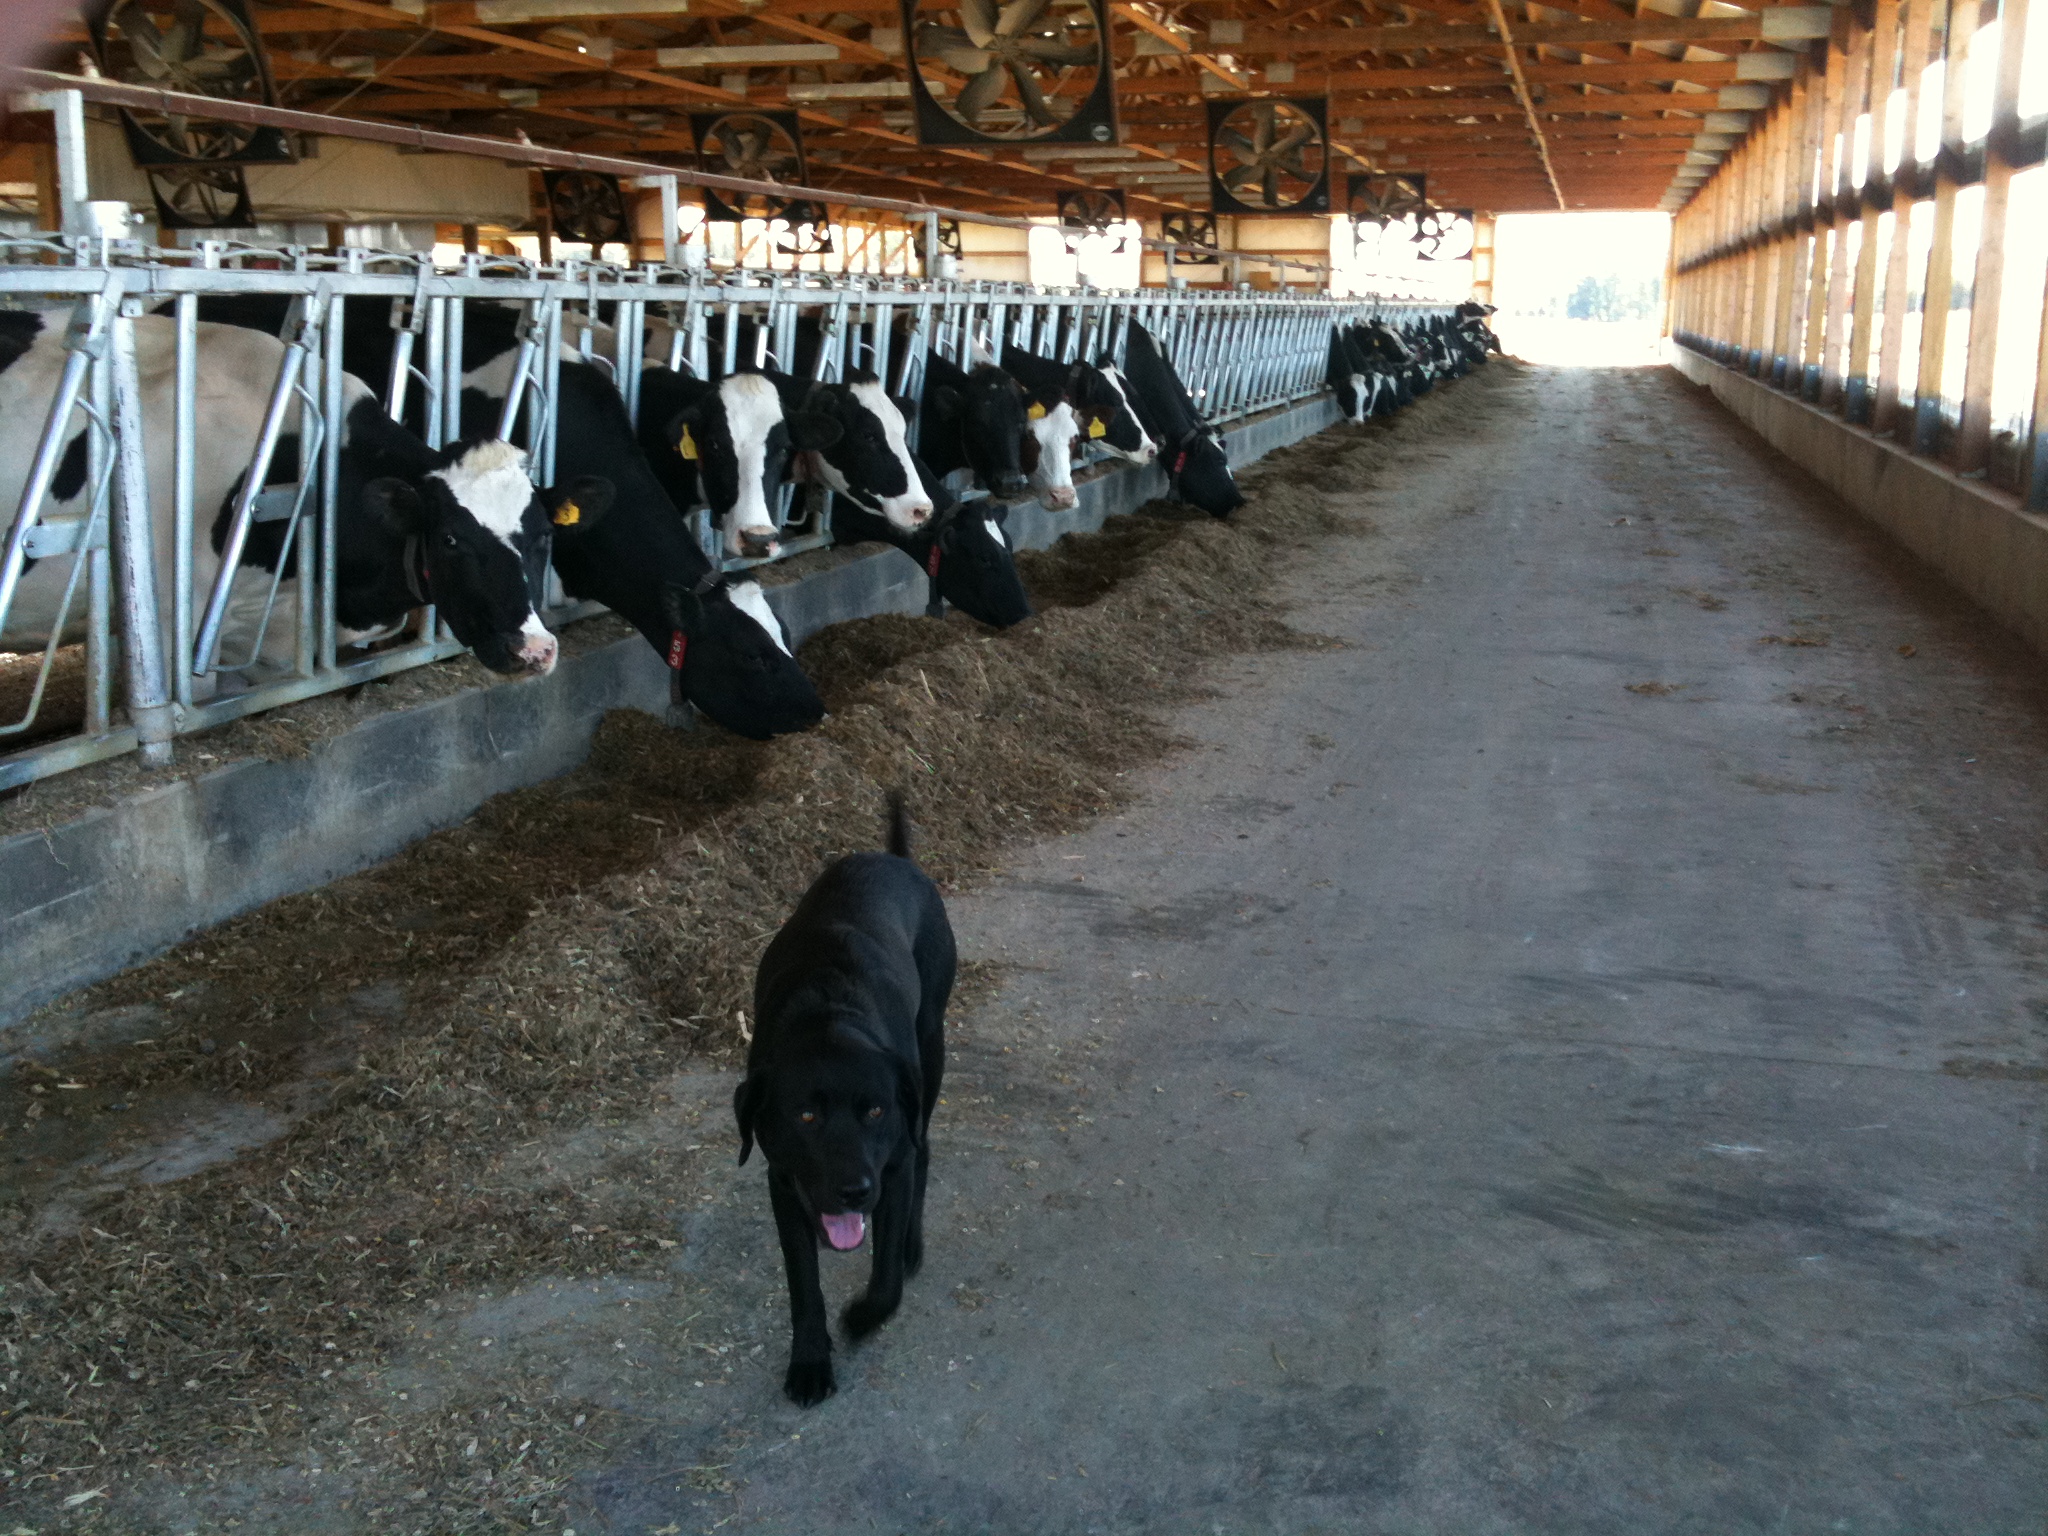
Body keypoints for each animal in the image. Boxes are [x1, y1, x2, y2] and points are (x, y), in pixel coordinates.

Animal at [741, 794, 954, 1409]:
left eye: (875, 1111)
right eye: (806, 1115)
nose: (855, 1190)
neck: (828, 1015)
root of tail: (894, 859)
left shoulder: (892, 1163)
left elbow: (883, 1280)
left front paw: (862, 1316)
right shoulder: (784, 1182)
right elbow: (803, 1286)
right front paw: (811, 1362)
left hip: (932, 1048)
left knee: (925, 1148)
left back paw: (909, 1245)